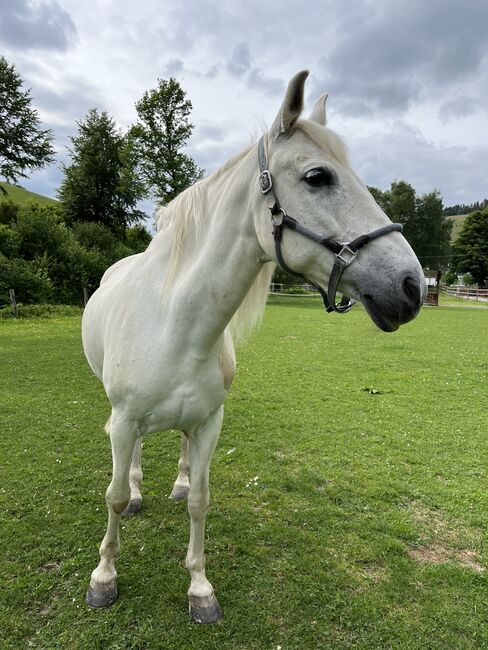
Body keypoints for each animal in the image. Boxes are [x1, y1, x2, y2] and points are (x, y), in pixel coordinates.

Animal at [82, 68, 426, 620]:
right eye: (317, 177)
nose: (412, 287)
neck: (175, 323)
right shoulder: (125, 418)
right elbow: (112, 496)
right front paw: (104, 577)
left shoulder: (209, 423)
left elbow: (200, 500)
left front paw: (200, 588)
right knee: (131, 457)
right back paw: (136, 492)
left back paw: (176, 483)